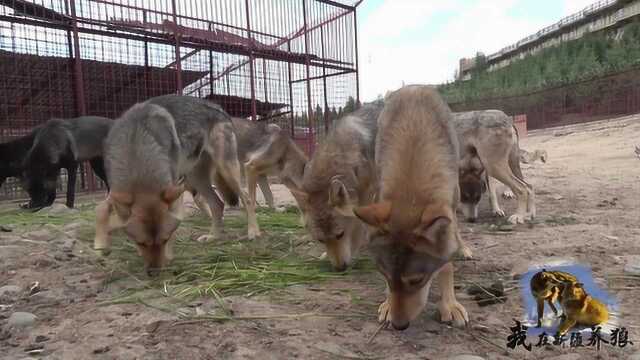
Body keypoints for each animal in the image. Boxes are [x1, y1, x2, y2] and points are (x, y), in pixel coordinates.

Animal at [352, 86, 468, 330]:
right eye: (385, 276)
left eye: (417, 281)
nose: (399, 325)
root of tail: (414, 87)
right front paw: (388, 303)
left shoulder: (446, 208)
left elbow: (446, 265)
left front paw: (449, 305)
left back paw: (462, 248)